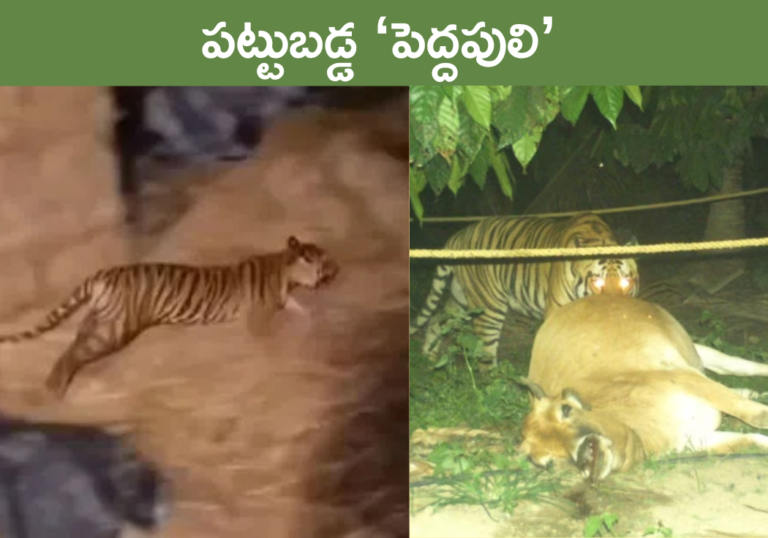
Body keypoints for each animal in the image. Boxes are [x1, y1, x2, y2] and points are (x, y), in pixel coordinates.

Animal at [0, 236, 339, 399]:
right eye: (325, 260)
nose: (339, 268)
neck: (286, 271)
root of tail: (104, 273)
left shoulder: (285, 299)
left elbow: (299, 308)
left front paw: (311, 318)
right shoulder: (260, 314)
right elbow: (265, 336)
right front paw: (271, 352)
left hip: (102, 317)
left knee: (77, 339)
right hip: (115, 328)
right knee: (73, 353)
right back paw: (54, 388)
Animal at [409, 213, 639, 367]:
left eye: (625, 282)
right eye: (597, 283)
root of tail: (460, 234)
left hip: (461, 300)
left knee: (437, 319)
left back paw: (429, 356)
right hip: (488, 306)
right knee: (486, 353)